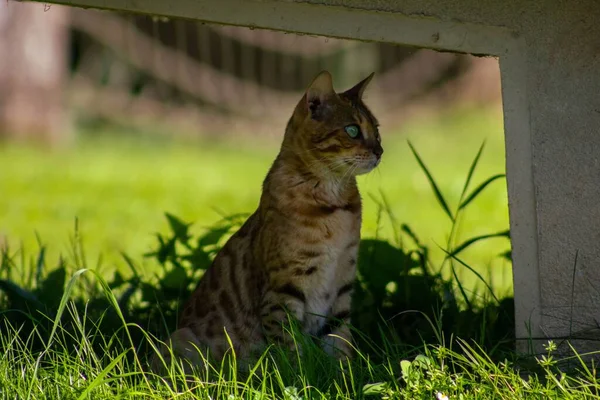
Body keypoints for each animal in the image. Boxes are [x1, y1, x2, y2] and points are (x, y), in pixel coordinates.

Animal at [151, 69, 384, 376]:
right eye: (353, 130)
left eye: (377, 130)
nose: (380, 151)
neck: (335, 208)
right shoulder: (284, 291)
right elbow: (291, 350)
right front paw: (302, 378)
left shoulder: (342, 285)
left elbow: (339, 341)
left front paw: (345, 377)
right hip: (183, 340)